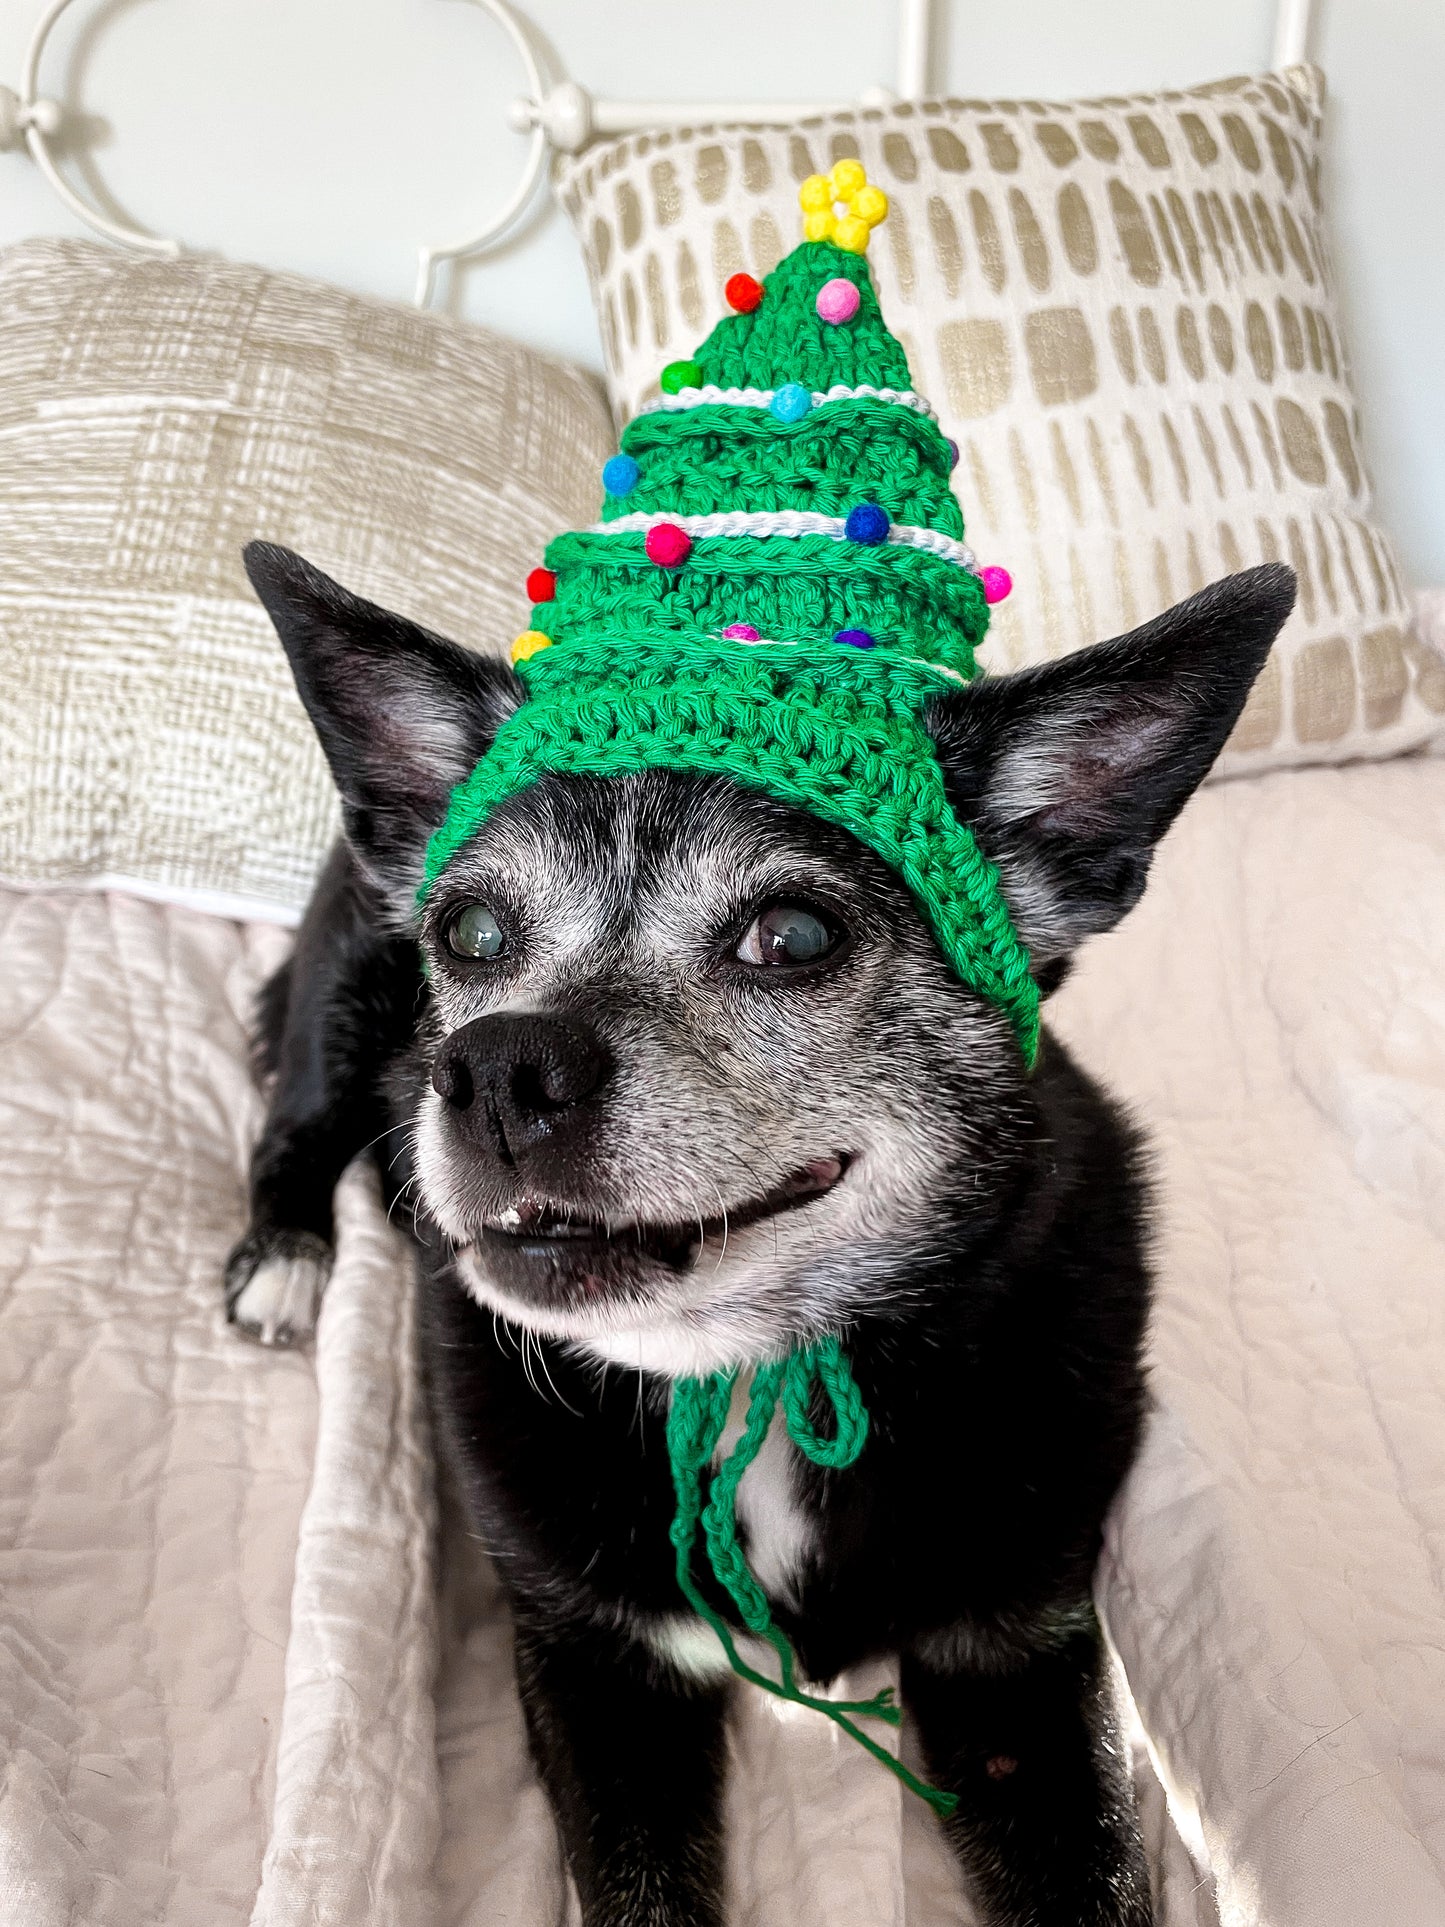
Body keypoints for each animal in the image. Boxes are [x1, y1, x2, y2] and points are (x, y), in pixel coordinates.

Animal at [229, 543, 1302, 1927]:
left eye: (790, 936)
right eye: (468, 935)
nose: (494, 1068)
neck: (758, 1374)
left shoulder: (1017, 1659)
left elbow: (1100, 1872)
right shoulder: (599, 1667)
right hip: (340, 996)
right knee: (295, 1122)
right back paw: (282, 1260)